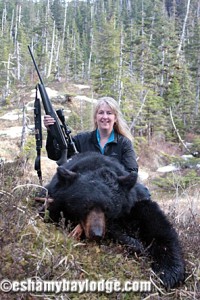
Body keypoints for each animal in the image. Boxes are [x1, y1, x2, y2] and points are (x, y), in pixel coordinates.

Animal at [45, 154, 184, 290]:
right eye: (85, 206)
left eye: (108, 208)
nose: (96, 234)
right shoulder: (52, 198)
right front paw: (134, 243)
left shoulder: (135, 203)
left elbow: (159, 228)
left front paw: (169, 273)